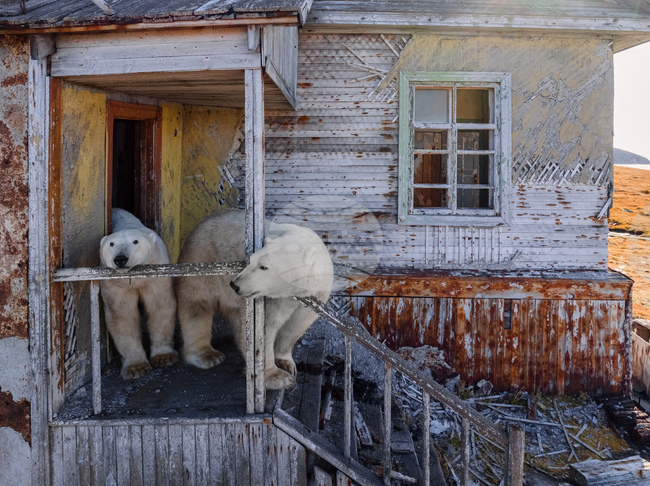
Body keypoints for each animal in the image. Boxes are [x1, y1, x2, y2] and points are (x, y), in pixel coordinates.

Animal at [99, 208, 178, 379]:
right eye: (111, 244)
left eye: (135, 241)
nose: (120, 259)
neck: (135, 279)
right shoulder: (117, 284)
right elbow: (123, 317)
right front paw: (136, 368)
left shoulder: (154, 275)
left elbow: (159, 307)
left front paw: (163, 357)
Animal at [175, 209, 333, 390]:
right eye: (250, 260)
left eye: (263, 266)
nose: (235, 285)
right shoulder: (272, 298)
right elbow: (263, 329)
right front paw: (277, 377)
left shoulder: (316, 293)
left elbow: (296, 325)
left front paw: (286, 363)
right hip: (203, 262)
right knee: (197, 307)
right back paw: (207, 355)